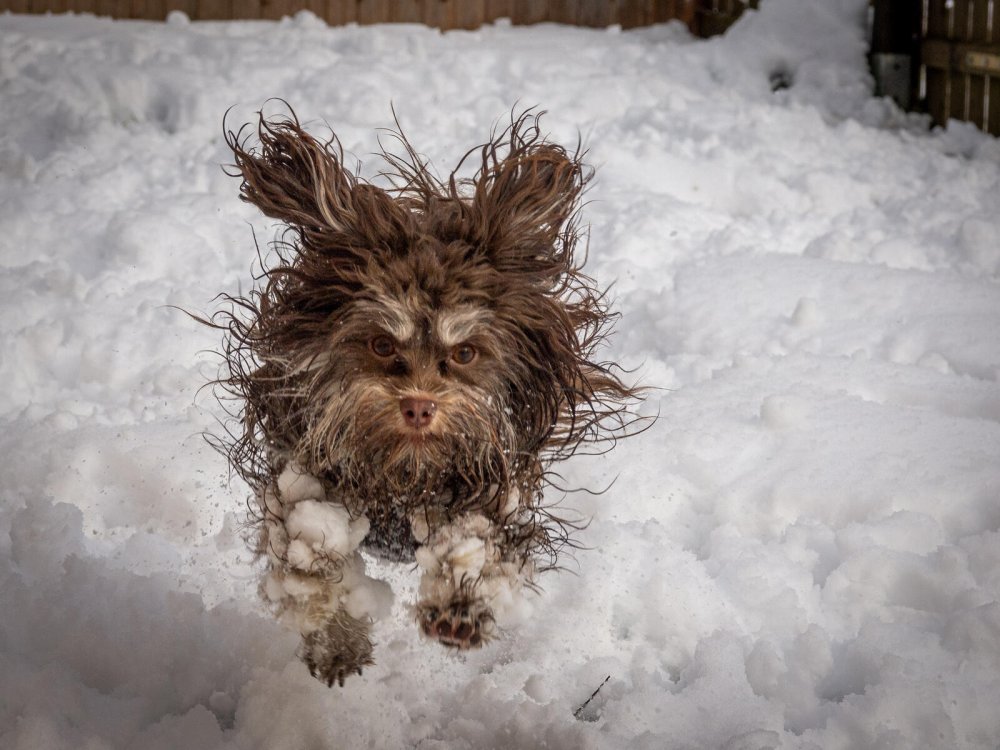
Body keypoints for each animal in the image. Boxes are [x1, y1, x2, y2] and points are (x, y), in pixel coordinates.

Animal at [212, 106, 640, 688]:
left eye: (464, 353)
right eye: (380, 343)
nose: (418, 406)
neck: (404, 473)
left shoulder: (490, 486)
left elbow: (478, 545)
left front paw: (459, 609)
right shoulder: (301, 476)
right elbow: (312, 559)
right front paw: (337, 640)